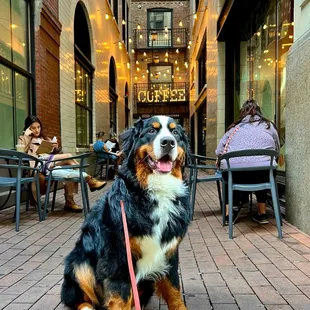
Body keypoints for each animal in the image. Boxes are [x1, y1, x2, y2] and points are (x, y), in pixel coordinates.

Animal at [60, 116, 191, 310]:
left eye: (175, 132)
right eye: (151, 131)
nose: (168, 142)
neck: (156, 190)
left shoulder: (169, 251)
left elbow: (173, 288)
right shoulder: (118, 255)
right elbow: (120, 295)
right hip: (79, 262)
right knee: (77, 298)